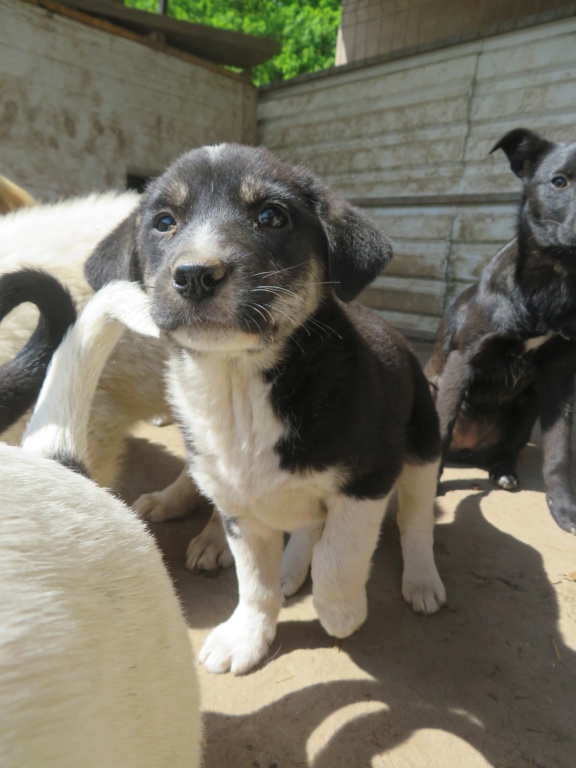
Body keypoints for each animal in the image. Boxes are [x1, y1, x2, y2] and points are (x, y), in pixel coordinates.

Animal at [84, 144, 446, 672]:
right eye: (164, 222)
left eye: (272, 217)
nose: (195, 276)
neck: (240, 385)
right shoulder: (239, 508)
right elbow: (255, 582)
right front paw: (247, 637)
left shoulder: (368, 479)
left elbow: (340, 553)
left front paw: (339, 611)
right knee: (308, 526)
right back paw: (291, 567)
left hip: (422, 444)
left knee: (414, 520)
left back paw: (420, 581)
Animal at [428, 127, 576, 536]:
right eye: (559, 181)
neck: (552, 285)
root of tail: (468, 451)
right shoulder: (463, 360)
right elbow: (442, 429)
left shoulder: (560, 377)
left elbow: (559, 453)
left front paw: (563, 509)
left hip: (527, 403)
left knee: (509, 449)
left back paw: (504, 470)